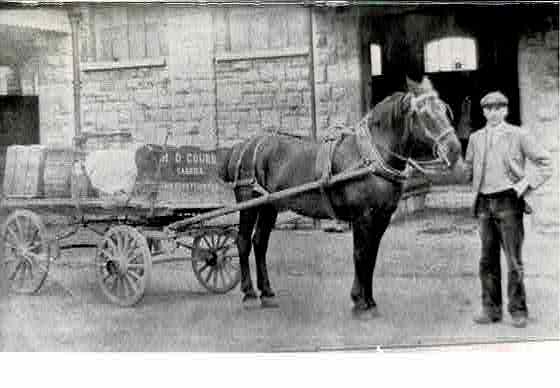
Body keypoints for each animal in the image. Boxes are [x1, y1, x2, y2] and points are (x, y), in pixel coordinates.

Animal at [217, 76, 462, 318]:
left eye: (444, 110)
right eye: (425, 114)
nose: (454, 149)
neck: (370, 157)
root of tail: (241, 146)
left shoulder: (381, 218)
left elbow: (372, 257)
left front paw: (370, 301)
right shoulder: (363, 217)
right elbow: (361, 254)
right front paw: (359, 302)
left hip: (269, 205)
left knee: (260, 243)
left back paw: (267, 293)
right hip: (247, 201)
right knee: (243, 242)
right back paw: (249, 294)